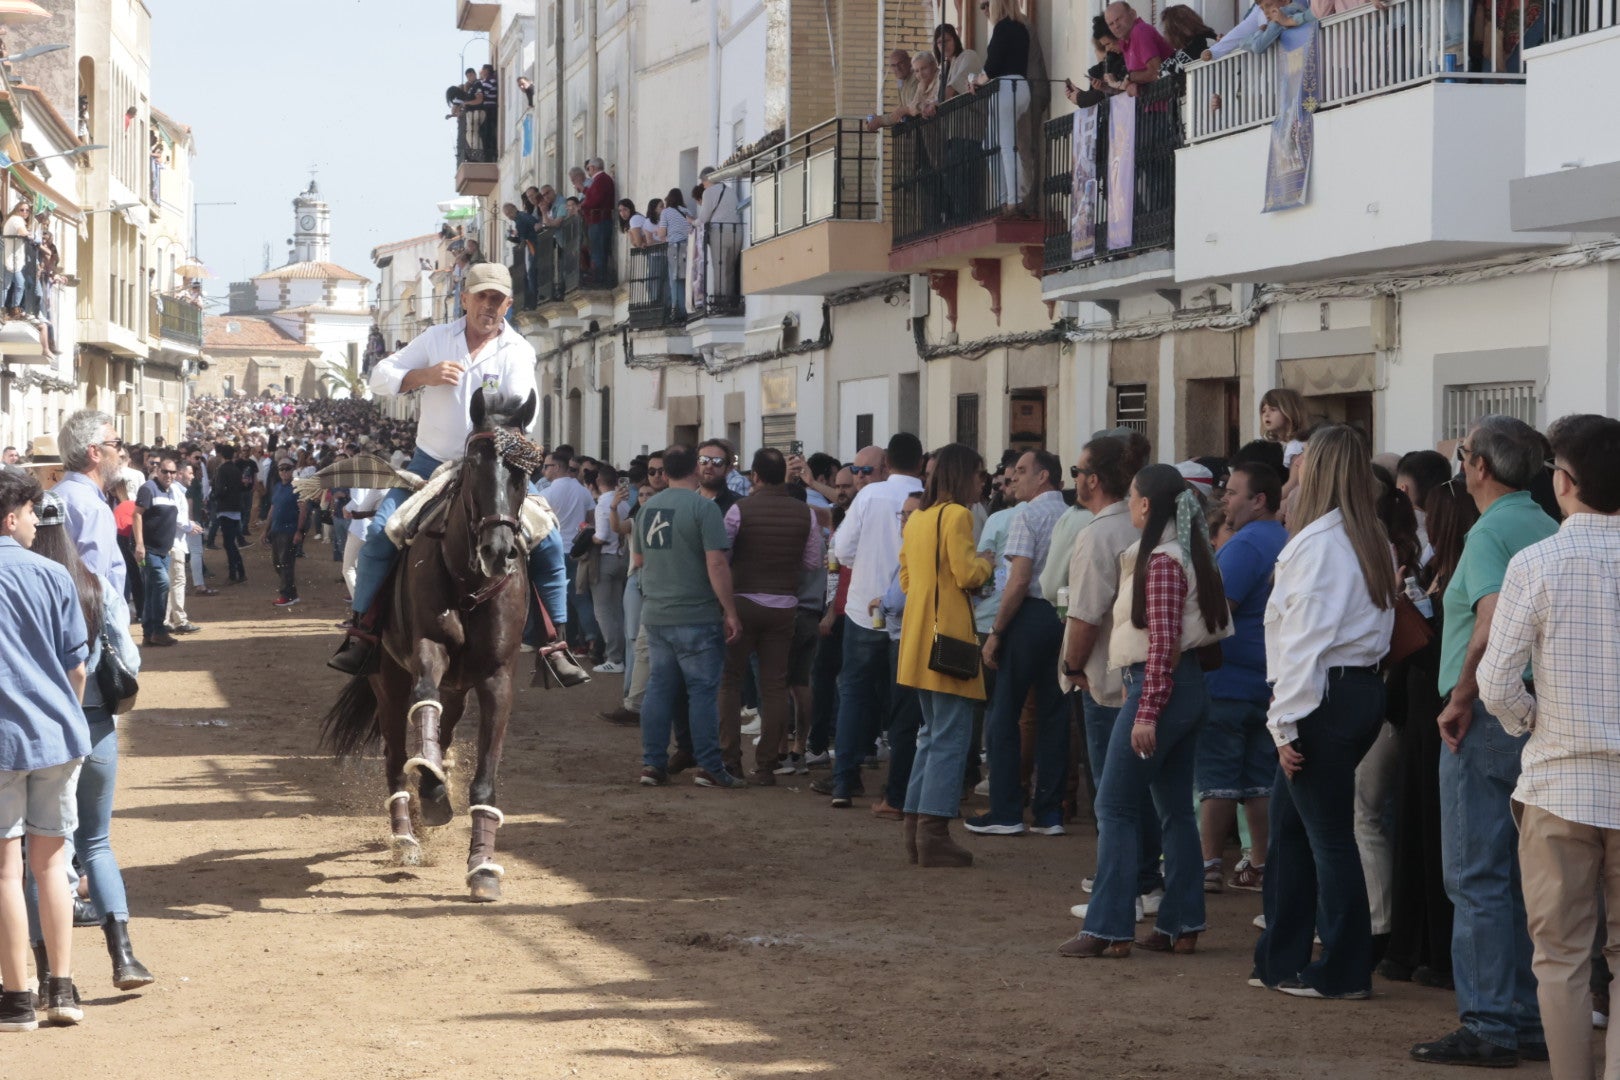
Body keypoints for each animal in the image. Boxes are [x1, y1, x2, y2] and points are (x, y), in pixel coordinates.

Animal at [322, 388, 537, 906]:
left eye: (524, 471)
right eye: (475, 464)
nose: (499, 550)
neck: (469, 581)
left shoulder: (497, 678)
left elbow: (485, 776)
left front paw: (483, 866)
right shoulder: (426, 652)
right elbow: (424, 705)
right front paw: (434, 793)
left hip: (458, 690)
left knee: (441, 730)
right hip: (386, 682)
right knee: (396, 757)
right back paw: (407, 832)